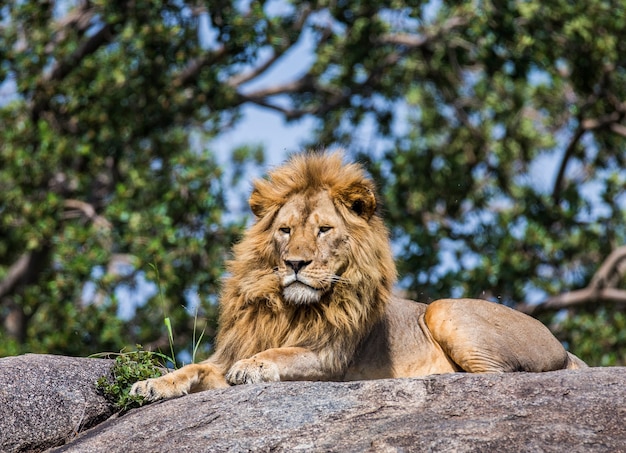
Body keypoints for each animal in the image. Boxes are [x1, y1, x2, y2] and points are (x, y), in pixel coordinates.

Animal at [132, 152, 584, 400]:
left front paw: (255, 366)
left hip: (444, 310)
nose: (295, 263)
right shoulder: (222, 356)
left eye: (323, 230)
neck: (288, 308)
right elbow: (191, 369)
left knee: (497, 377)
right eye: (285, 230)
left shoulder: (331, 358)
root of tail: (564, 348)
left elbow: (282, 354)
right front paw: (151, 385)